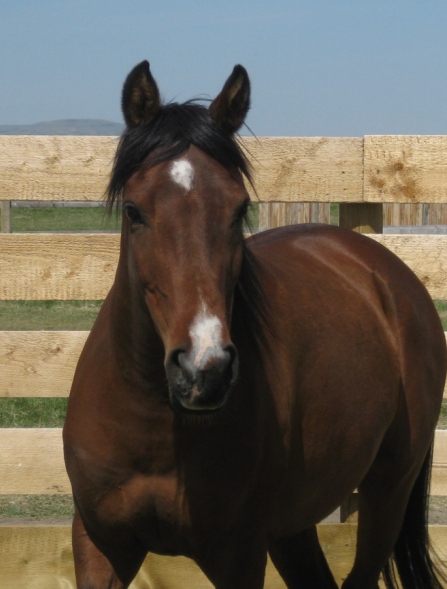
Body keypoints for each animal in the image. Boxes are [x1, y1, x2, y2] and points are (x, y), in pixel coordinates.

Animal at [63, 60, 447, 588]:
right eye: (135, 211)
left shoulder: (238, 553)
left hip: (389, 488)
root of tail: (384, 270)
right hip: (293, 523)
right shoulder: (100, 544)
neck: (154, 425)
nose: (204, 370)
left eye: (238, 208)